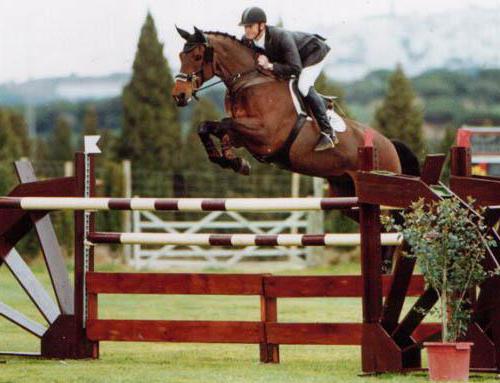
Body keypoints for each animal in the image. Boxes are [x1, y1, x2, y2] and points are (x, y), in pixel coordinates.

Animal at [171, 26, 418, 198]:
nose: (179, 95)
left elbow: (224, 123)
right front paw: (231, 161)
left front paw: (233, 160)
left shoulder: (265, 135)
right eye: (180, 56)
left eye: (197, 57)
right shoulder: (245, 135)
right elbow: (208, 127)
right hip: (344, 189)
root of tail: (389, 144)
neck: (251, 80)